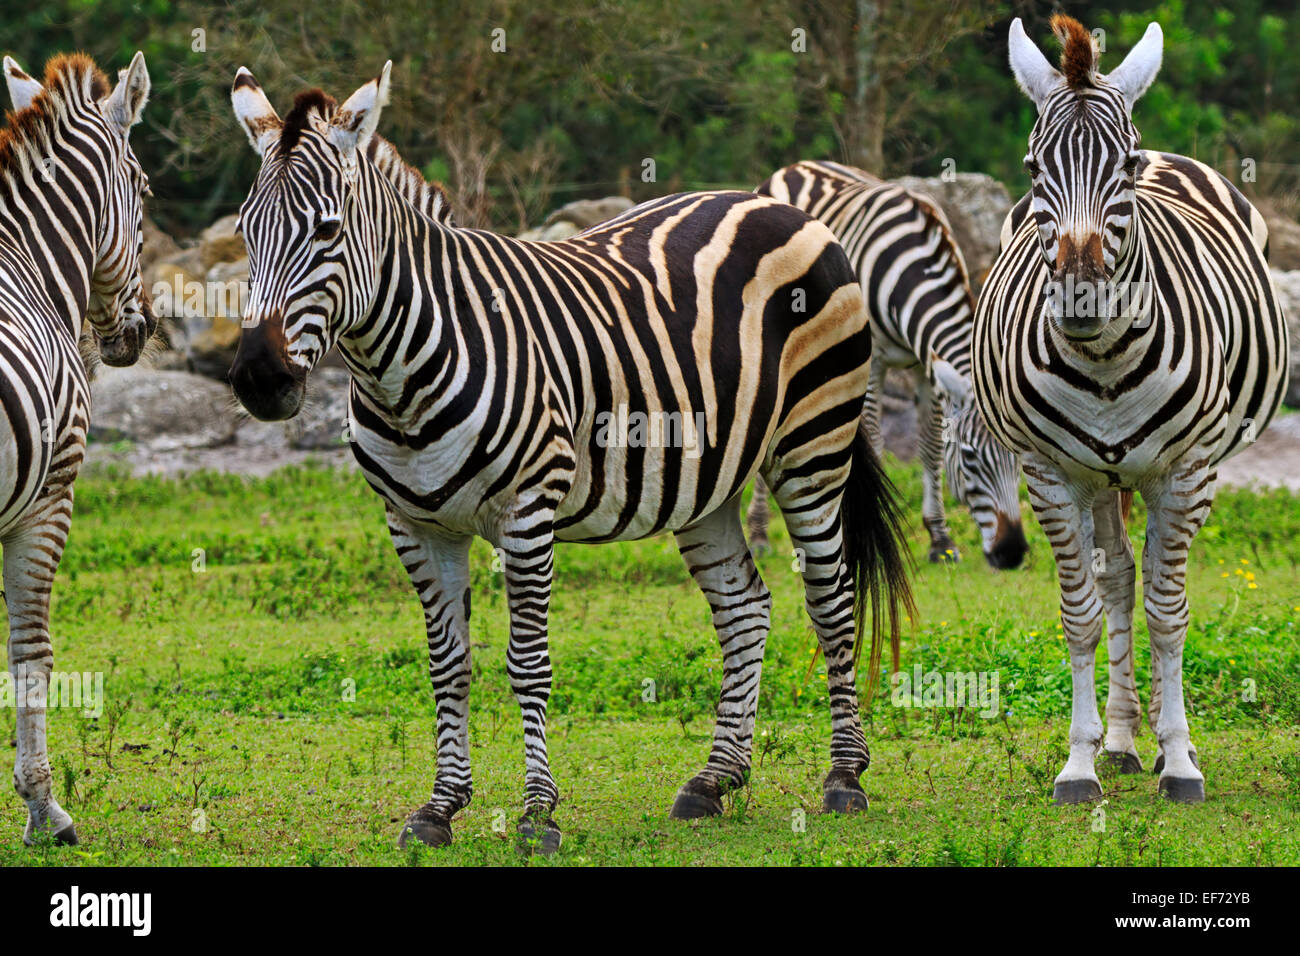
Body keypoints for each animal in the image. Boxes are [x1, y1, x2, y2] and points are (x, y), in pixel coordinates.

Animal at [227, 64, 915, 852]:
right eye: (244, 232)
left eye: (327, 230)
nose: (258, 379)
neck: (399, 373)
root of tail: (771, 203)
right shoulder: (415, 525)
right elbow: (447, 665)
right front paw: (440, 807)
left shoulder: (528, 512)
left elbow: (527, 663)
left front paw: (536, 814)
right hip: (709, 482)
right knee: (745, 607)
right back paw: (714, 781)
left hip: (813, 447)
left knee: (830, 601)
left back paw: (844, 777)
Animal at [747, 161, 1027, 569]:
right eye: (970, 457)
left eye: (1019, 457)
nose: (1013, 553)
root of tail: (796, 167)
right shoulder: (873, 362)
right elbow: (878, 443)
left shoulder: (926, 364)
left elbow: (929, 443)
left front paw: (940, 539)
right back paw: (759, 535)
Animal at [972, 16, 1289, 804]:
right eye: (1034, 169)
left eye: (1126, 165)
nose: (1082, 299)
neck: (1107, 363)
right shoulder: (1050, 476)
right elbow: (1083, 613)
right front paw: (1081, 762)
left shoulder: (1186, 472)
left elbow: (1168, 611)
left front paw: (1179, 760)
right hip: (1100, 478)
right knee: (1115, 577)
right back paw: (1118, 741)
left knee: (1142, 582)